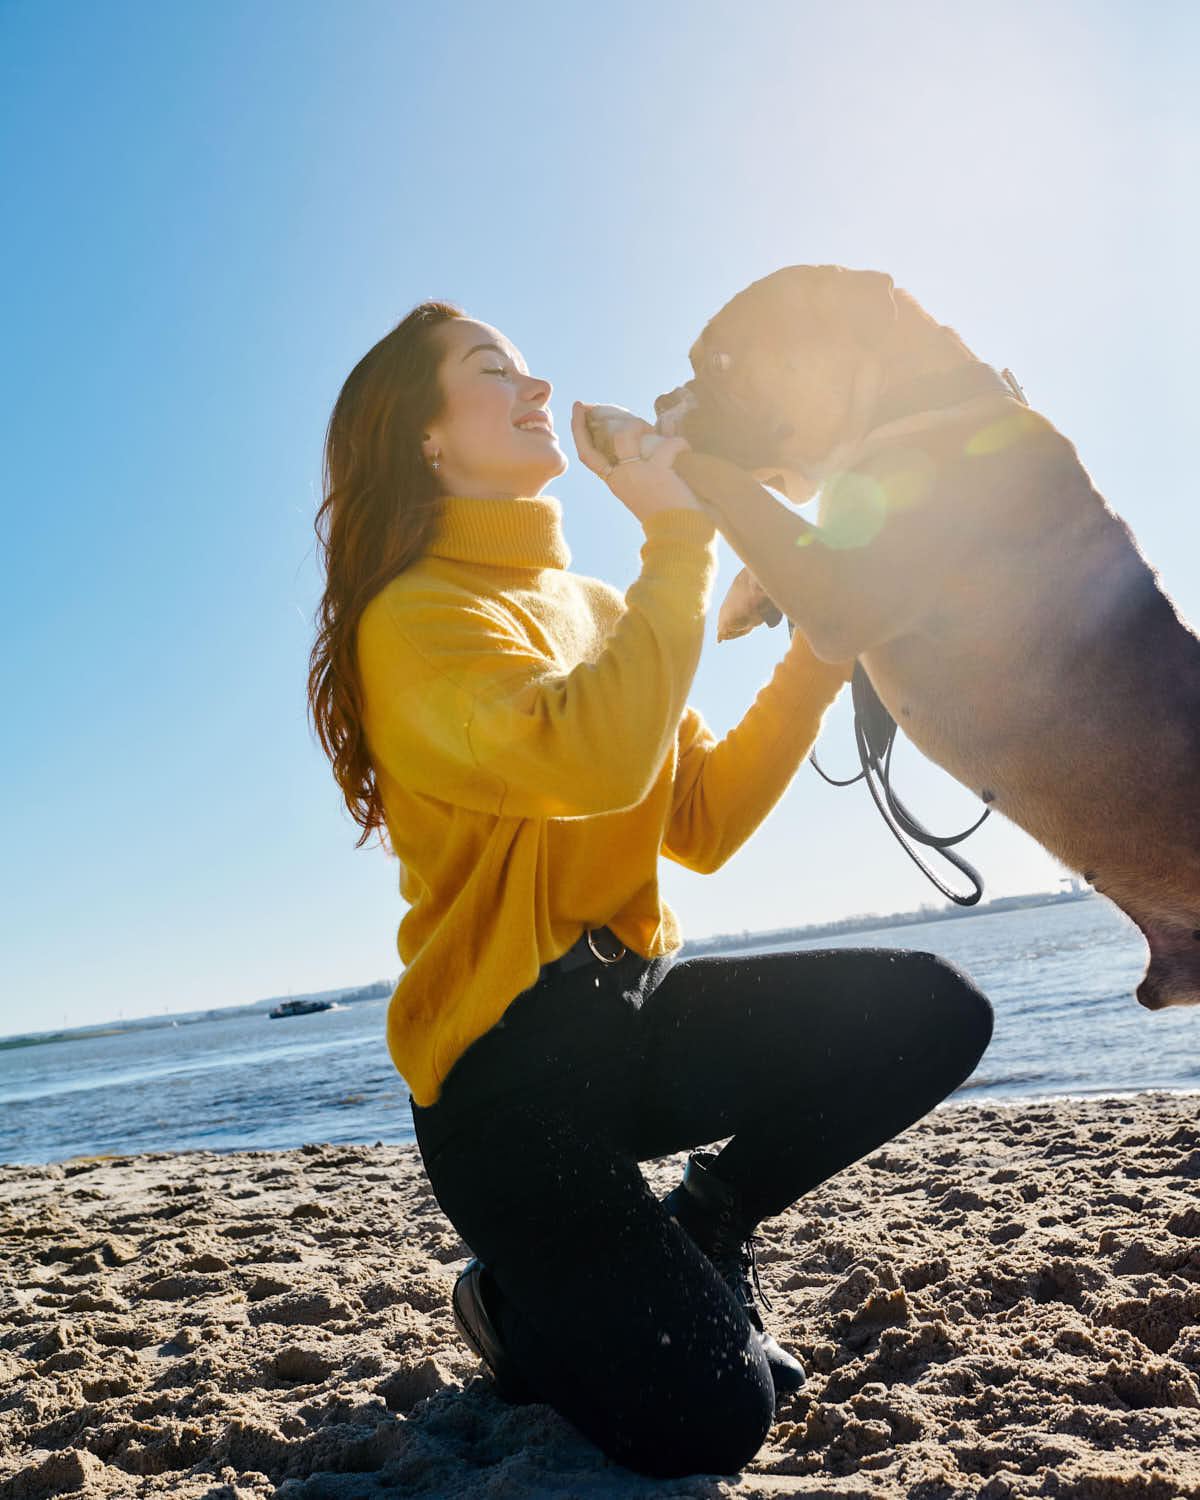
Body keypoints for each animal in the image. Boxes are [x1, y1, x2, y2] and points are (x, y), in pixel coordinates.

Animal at [657, 264, 1200, 1014]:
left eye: (721, 362)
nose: (662, 399)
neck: (915, 401)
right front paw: (743, 601)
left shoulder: (836, 586)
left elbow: (734, 488)